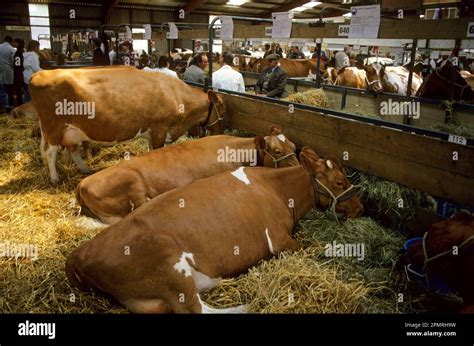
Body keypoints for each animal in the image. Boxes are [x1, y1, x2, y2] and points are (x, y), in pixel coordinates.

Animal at [29, 65, 226, 184]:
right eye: (222, 106)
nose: (220, 130)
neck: (176, 94)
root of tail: (40, 73)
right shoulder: (160, 127)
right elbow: (157, 151)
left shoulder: (152, 131)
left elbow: (150, 151)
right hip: (54, 126)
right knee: (50, 151)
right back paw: (55, 178)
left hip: (70, 130)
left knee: (72, 149)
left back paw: (85, 169)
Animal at [65, 146, 362, 314]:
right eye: (339, 181)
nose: (360, 207)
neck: (278, 189)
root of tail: (79, 254)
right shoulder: (279, 240)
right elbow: (311, 249)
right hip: (170, 268)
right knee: (198, 311)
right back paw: (248, 306)